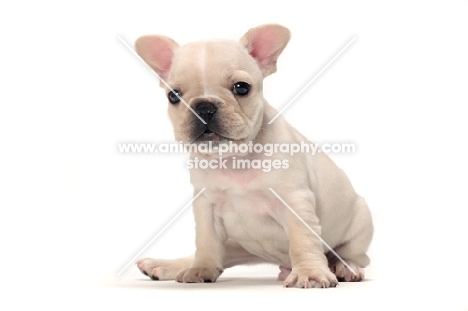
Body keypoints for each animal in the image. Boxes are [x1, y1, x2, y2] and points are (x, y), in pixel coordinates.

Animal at [134, 24, 372, 290]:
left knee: (352, 254)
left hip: (361, 222)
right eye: (173, 96)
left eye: (241, 87)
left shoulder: (295, 201)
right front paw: (201, 269)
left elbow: (303, 240)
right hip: (238, 245)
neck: (234, 160)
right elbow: (206, 241)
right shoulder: (205, 205)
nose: (204, 106)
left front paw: (310, 273)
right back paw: (167, 265)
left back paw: (344, 267)